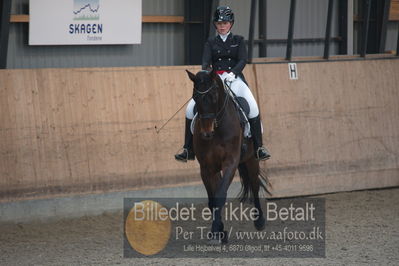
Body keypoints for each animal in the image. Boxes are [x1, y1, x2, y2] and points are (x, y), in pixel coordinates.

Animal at [186, 69, 270, 243]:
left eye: (213, 96)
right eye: (195, 97)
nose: (206, 133)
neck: (217, 128)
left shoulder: (230, 163)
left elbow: (220, 195)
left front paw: (216, 231)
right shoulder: (206, 167)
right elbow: (213, 200)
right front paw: (218, 231)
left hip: (252, 159)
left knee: (255, 185)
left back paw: (259, 221)